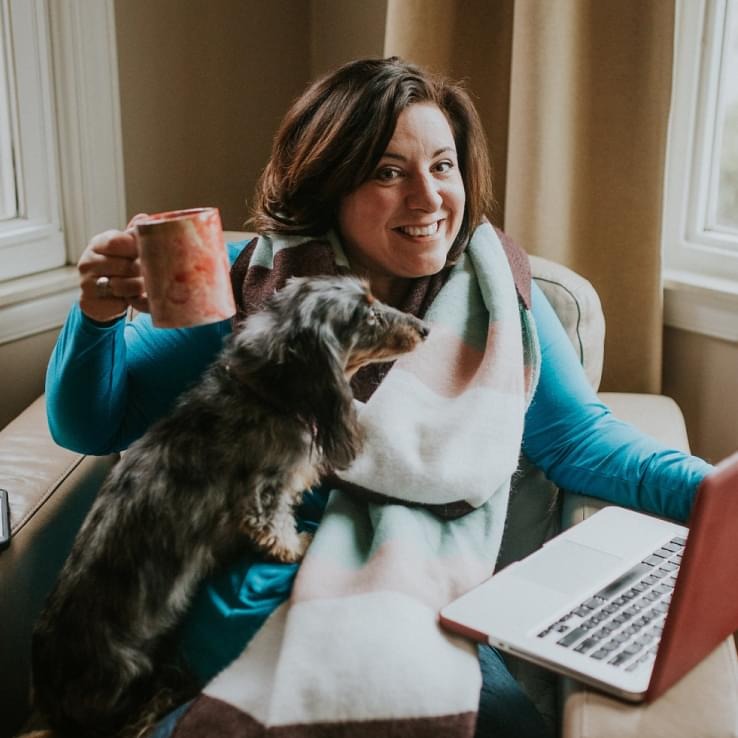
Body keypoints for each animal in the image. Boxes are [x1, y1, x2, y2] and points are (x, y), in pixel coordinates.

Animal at [31, 275, 429, 738]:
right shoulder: (263, 495)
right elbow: (278, 530)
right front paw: (300, 546)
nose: (425, 330)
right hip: (133, 672)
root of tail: (50, 702)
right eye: (367, 315)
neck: (268, 392)